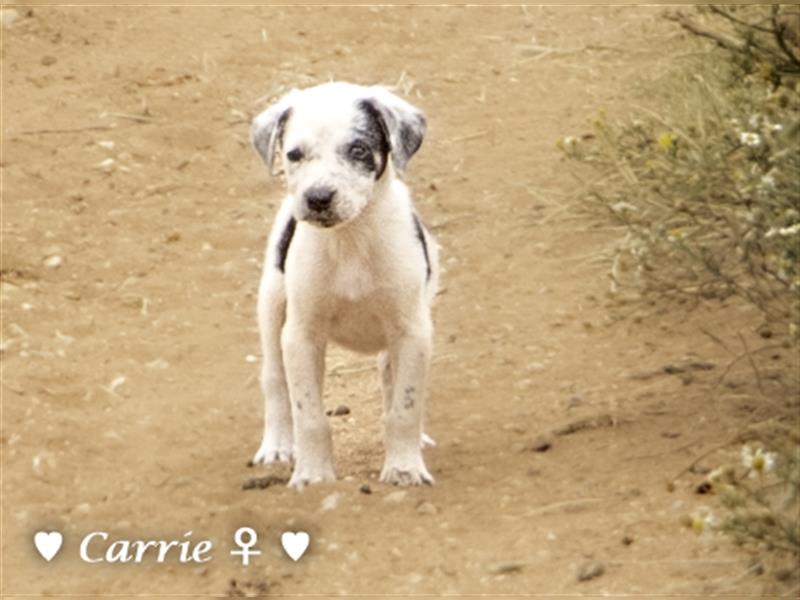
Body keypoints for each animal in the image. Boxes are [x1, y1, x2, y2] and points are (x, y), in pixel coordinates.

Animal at [248, 82, 438, 490]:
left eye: (358, 150)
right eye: (294, 154)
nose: (318, 198)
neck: (351, 240)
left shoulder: (412, 331)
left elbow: (406, 406)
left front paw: (404, 468)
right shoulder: (301, 335)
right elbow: (309, 414)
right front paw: (313, 474)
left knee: (389, 378)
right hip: (271, 303)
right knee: (274, 380)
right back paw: (277, 445)